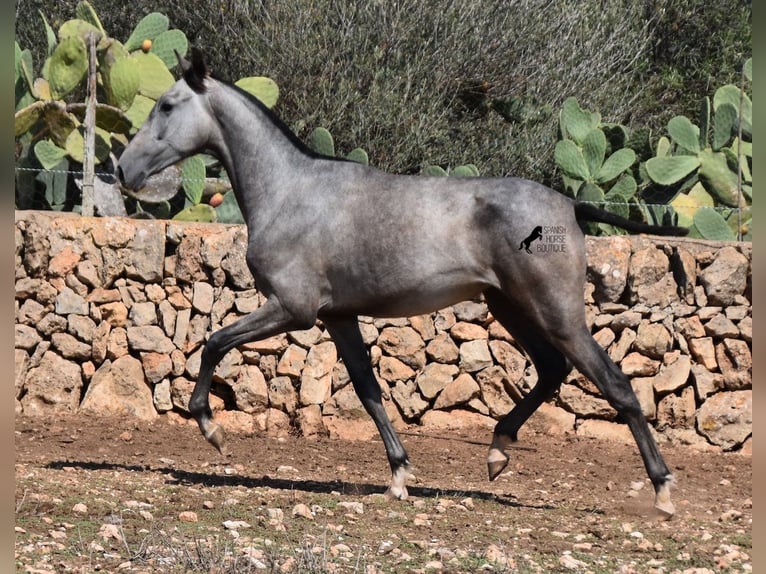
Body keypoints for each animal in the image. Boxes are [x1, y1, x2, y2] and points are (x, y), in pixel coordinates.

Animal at [118, 48, 688, 516]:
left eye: (166, 106)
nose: (122, 169)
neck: (290, 192)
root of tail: (569, 203)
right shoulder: (338, 317)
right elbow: (369, 391)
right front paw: (399, 475)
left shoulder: (291, 309)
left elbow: (214, 342)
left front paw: (212, 430)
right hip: (511, 307)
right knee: (551, 371)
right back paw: (497, 453)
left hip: (555, 311)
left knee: (615, 384)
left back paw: (663, 492)